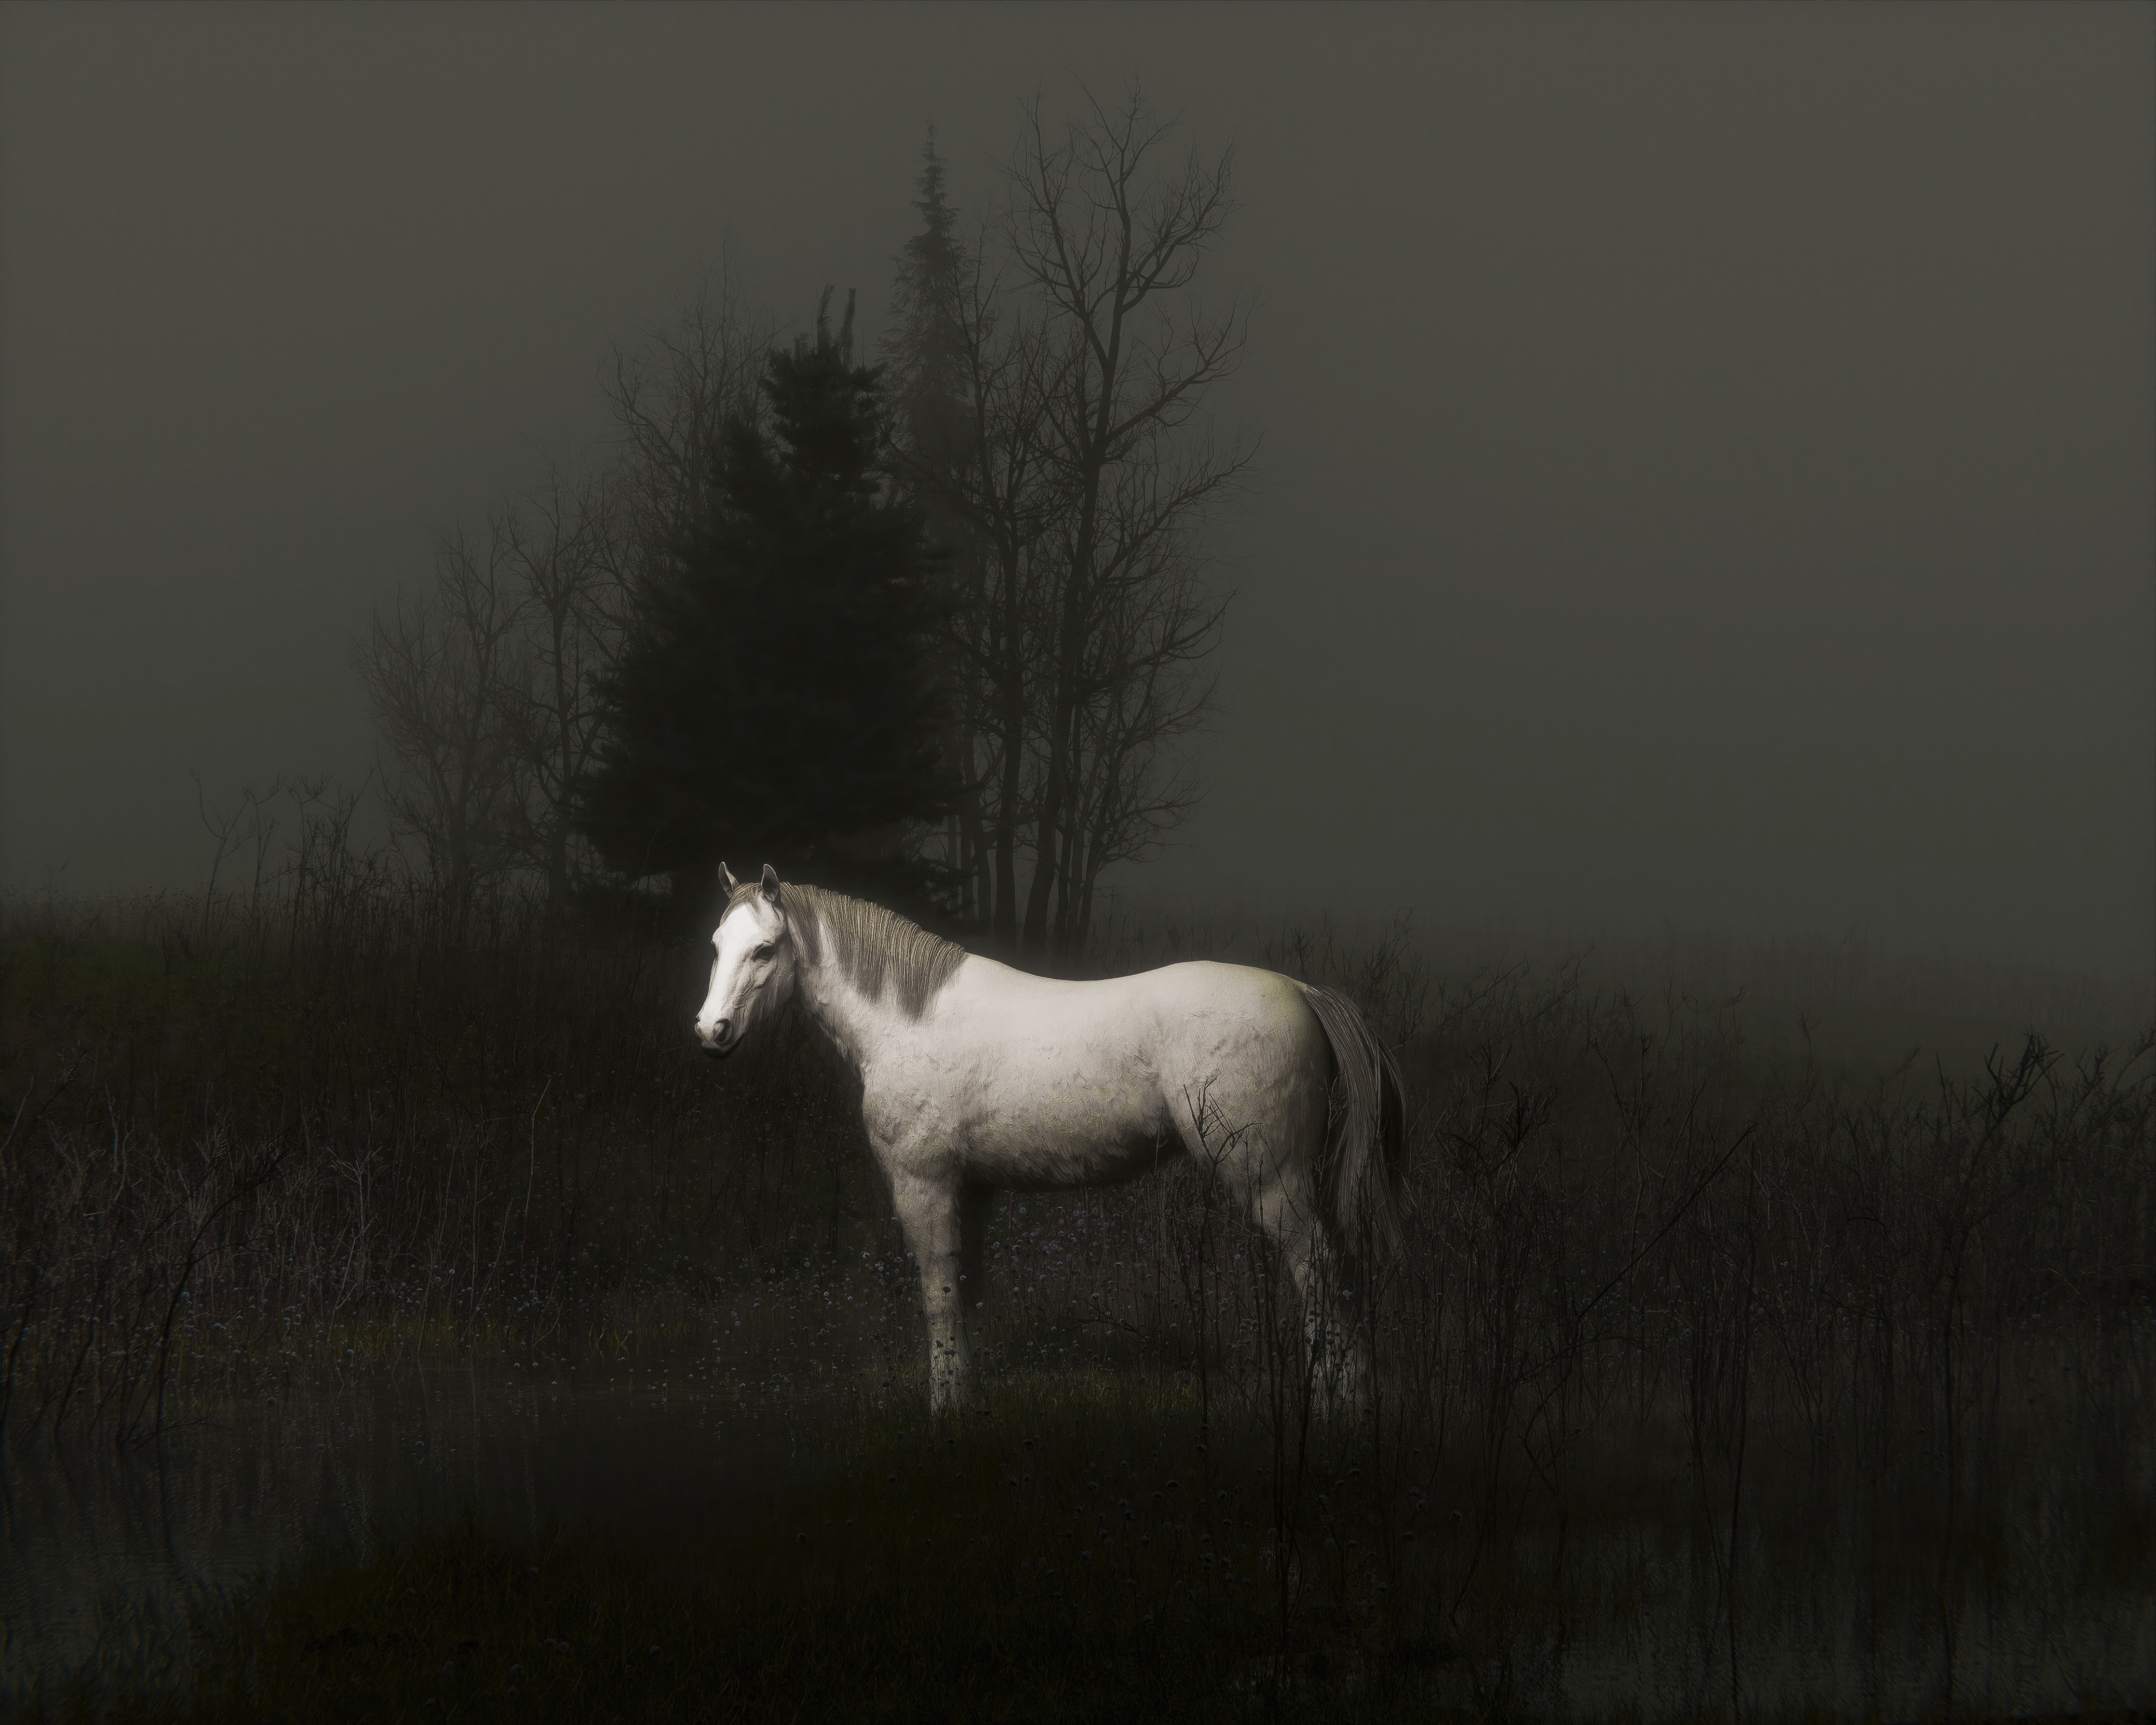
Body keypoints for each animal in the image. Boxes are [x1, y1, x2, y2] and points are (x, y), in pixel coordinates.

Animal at [694, 863, 1407, 1414]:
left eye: (764, 951)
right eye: (718, 945)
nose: (712, 1032)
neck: (909, 1020)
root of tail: (1305, 992)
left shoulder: (925, 1186)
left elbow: (938, 1298)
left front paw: (944, 1411)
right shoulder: (972, 1193)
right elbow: (965, 1293)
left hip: (1271, 1181)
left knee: (1320, 1274)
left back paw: (1335, 1406)